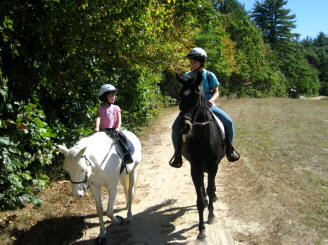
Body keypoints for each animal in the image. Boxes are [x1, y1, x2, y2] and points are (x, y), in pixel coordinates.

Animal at [173, 71, 224, 239]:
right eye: (180, 96)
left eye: (197, 97)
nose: (184, 126)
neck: (203, 138)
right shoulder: (195, 168)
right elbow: (200, 199)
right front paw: (201, 229)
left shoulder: (213, 166)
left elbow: (210, 189)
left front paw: (211, 216)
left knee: (210, 188)